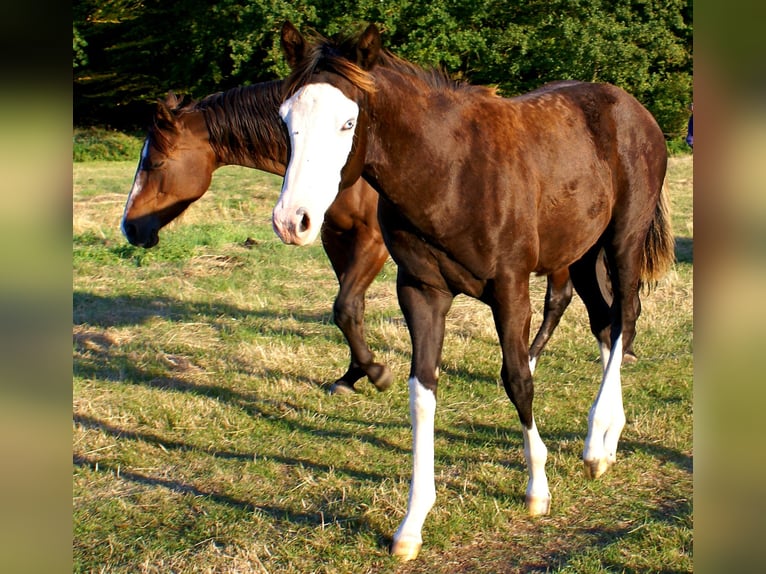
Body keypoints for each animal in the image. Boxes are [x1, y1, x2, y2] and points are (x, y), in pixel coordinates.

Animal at [119, 82, 610, 395]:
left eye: (154, 163)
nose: (130, 228)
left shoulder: (372, 244)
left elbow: (345, 305)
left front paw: (375, 372)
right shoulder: (334, 238)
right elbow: (345, 308)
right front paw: (354, 373)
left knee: (562, 298)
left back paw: (542, 360)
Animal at [272, 22, 673, 560]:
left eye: (347, 122)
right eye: (285, 117)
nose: (292, 220)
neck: (450, 174)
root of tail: (633, 107)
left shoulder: (510, 289)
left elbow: (518, 379)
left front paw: (537, 488)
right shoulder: (420, 291)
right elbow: (421, 393)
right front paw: (412, 523)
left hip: (624, 240)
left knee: (625, 315)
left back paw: (594, 448)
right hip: (582, 253)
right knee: (606, 324)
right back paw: (606, 441)